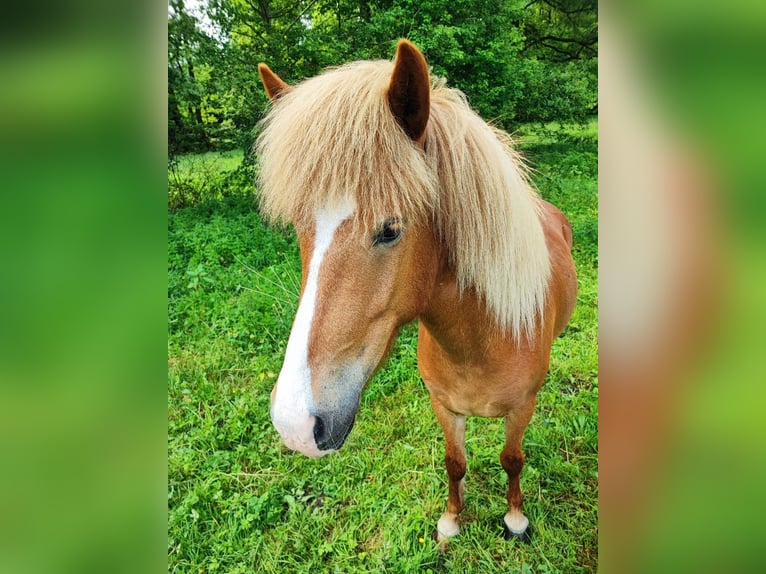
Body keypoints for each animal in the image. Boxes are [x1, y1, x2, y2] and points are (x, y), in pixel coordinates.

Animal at [255, 39, 577, 542]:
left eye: (390, 229)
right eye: (298, 228)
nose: (295, 424)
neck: (482, 341)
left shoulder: (521, 408)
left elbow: (512, 459)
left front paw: (515, 519)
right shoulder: (444, 407)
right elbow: (455, 462)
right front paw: (451, 521)